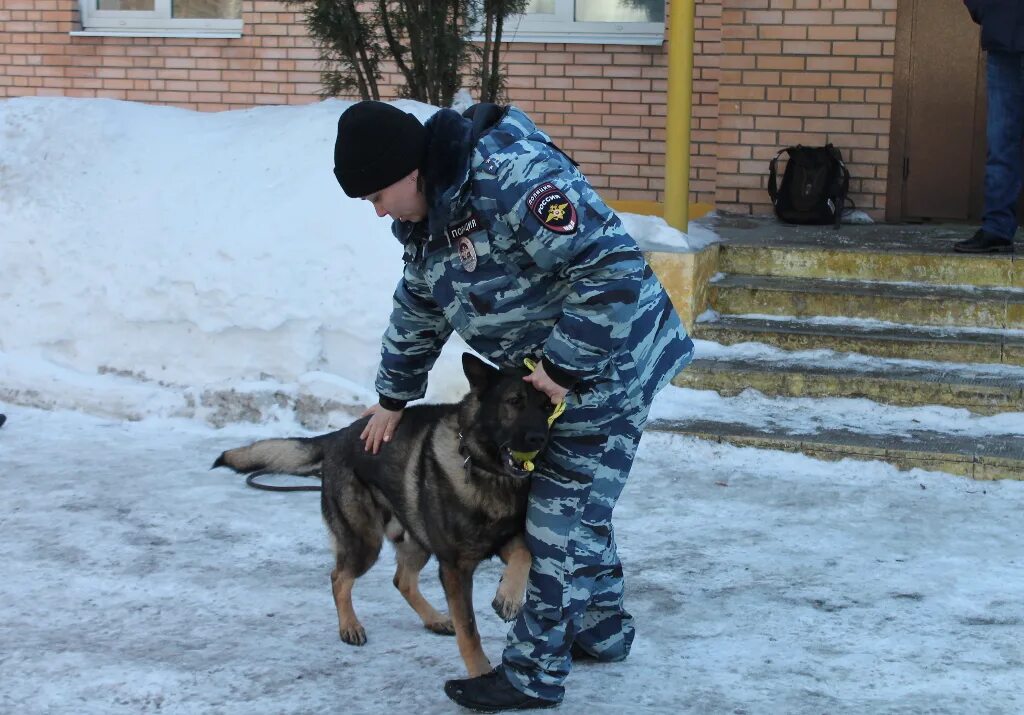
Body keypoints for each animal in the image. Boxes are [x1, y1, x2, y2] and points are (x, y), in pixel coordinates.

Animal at [211, 354, 557, 676]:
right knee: (339, 577)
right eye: (514, 402)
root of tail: (340, 435)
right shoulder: (455, 569)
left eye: (548, 406)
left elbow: (525, 554)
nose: (539, 438)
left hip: (416, 540)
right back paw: (349, 626)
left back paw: (433, 619)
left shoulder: (505, 541)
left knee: (401, 580)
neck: (486, 472)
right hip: (365, 542)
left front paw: (509, 597)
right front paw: (480, 672)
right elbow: (468, 630)